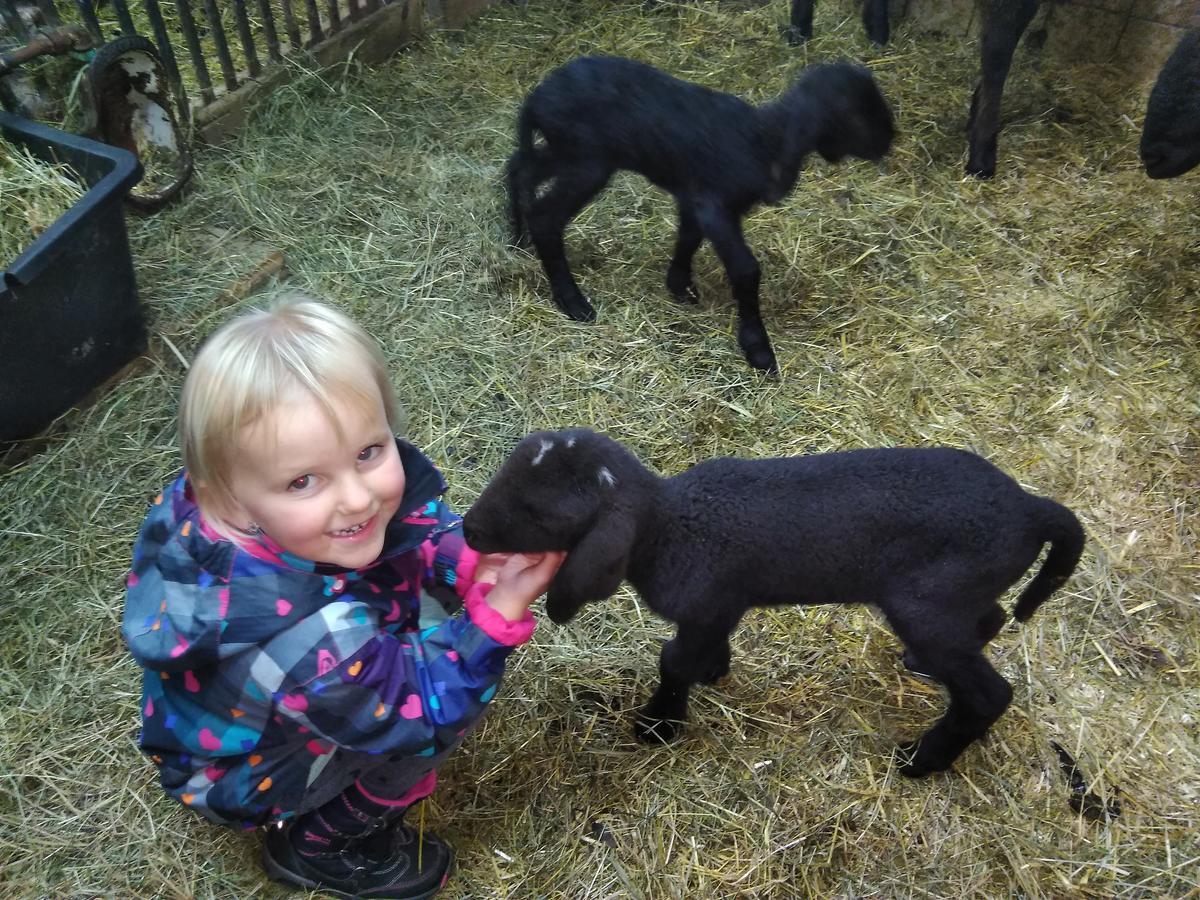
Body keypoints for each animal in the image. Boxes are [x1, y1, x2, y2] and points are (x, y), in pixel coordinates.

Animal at [463, 427, 1084, 777]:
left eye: (539, 511)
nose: (468, 530)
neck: (668, 526)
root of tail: (1032, 510)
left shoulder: (707, 600)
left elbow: (673, 661)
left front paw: (659, 725)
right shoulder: (720, 605)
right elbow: (701, 650)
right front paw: (713, 672)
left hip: (928, 602)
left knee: (988, 694)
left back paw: (921, 761)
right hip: (956, 592)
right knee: (991, 616)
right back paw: (923, 666)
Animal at [504, 55, 892, 374]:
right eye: (858, 113)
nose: (888, 142)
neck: (766, 137)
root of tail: (536, 98)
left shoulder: (695, 197)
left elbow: (688, 237)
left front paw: (679, 285)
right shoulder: (714, 205)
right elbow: (746, 270)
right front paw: (758, 349)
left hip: (568, 152)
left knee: (520, 167)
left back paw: (517, 238)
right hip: (587, 160)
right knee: (546, 216)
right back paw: (573, 302)